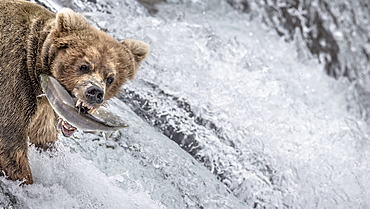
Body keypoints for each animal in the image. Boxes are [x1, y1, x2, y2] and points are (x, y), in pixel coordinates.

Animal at [1, 0, 149, 185]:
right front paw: (25, 179)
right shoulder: (16, 78)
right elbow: (11, 143)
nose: (95, 92)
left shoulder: (46, 107)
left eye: (110, 78)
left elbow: (43, 136)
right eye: (84, 66)